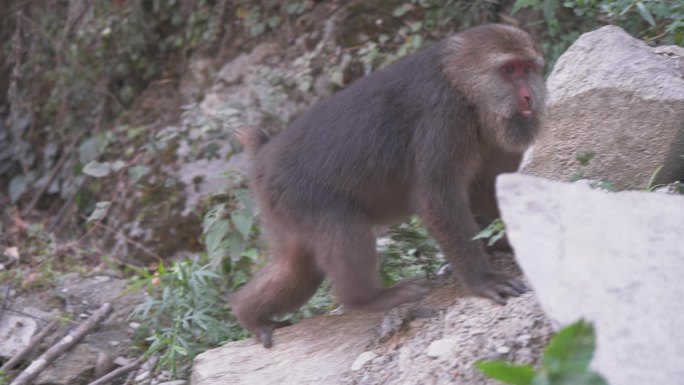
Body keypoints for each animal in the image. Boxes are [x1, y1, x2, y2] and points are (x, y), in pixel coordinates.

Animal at [232, 24, 548, 348]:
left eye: (527, 68)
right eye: (508, 69)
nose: (528, 97)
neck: (461, 88)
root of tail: (263, 153)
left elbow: (488, 186)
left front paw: (513, 238)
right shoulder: (443, 119)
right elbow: (437, 198)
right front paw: (481, 280)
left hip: (281, 209)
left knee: (298, 269)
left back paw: (250, 314)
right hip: (299, 196)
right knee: (345, 231)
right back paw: (366, 299)